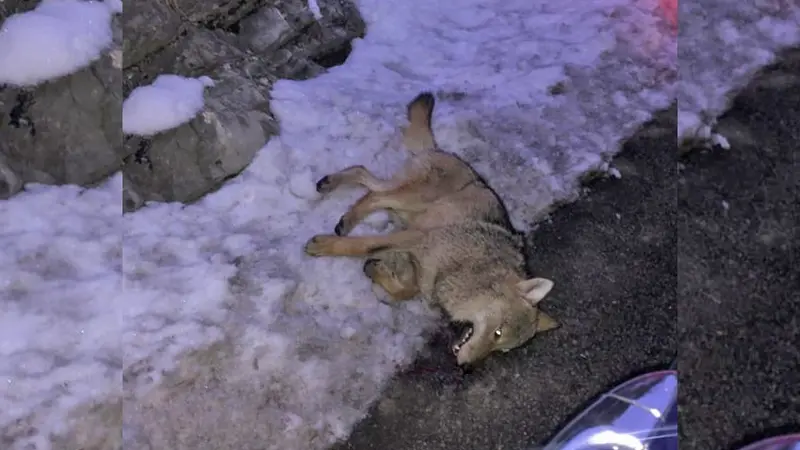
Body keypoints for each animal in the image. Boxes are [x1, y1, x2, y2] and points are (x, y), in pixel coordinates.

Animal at [304, 92, 559, 366]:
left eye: (500, 349)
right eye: (497, 333)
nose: (466, 367)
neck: (471, 267)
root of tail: (438, 148)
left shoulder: (420, 267)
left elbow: (405, 288)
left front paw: (376, 272)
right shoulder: (416, 237)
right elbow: (363, 246)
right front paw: (323, 246)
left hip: (402, 207)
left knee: (370, 191)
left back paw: (345, 219)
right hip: (408, 198)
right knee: (366, 179)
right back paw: (332, 191)